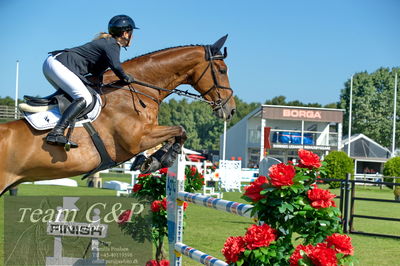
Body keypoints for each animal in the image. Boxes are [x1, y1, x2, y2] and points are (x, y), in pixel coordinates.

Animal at [0, 35, 236, 195]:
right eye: (222, 70)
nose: (231, 109)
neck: (136, 89)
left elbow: (177, 132)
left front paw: (152, 161)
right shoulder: (137, 140)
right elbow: (180, 129)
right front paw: (161, 159)